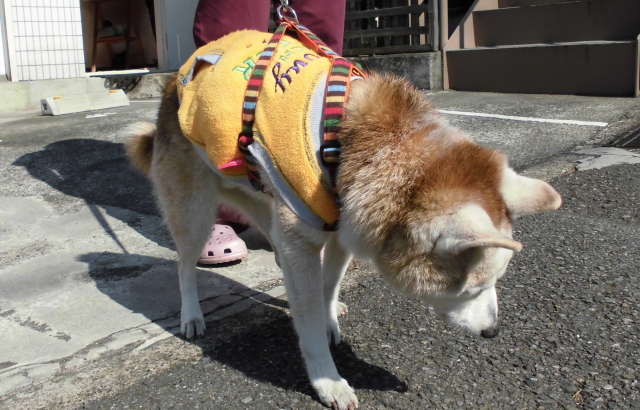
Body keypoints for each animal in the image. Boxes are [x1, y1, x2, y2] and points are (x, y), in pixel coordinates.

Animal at [125, 71, 560, 410]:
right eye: (473, 287)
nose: (494, 333)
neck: (358, 146)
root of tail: (173, 83)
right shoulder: (305, 238)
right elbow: (310, 321)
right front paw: (327, 380)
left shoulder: (341, 228)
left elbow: (327, 286)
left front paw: (330, 315)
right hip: (194, 209)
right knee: (185, 264)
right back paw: (191, 315)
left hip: (263, 198)